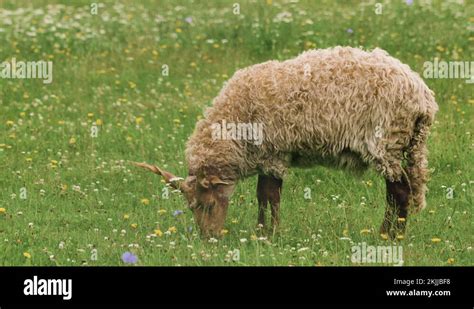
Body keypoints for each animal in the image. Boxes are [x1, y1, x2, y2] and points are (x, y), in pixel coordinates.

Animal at [132, 46, 436, 238]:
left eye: (207, 205)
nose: (209, 239)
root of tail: (423, 97)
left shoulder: (273, 154)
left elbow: (269, 196)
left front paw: (269, 235)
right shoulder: (267, 156)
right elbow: (264, 195)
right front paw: (263, 233)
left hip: (386, 143)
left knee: (399, 191)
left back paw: (389, 236)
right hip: (401, 144)